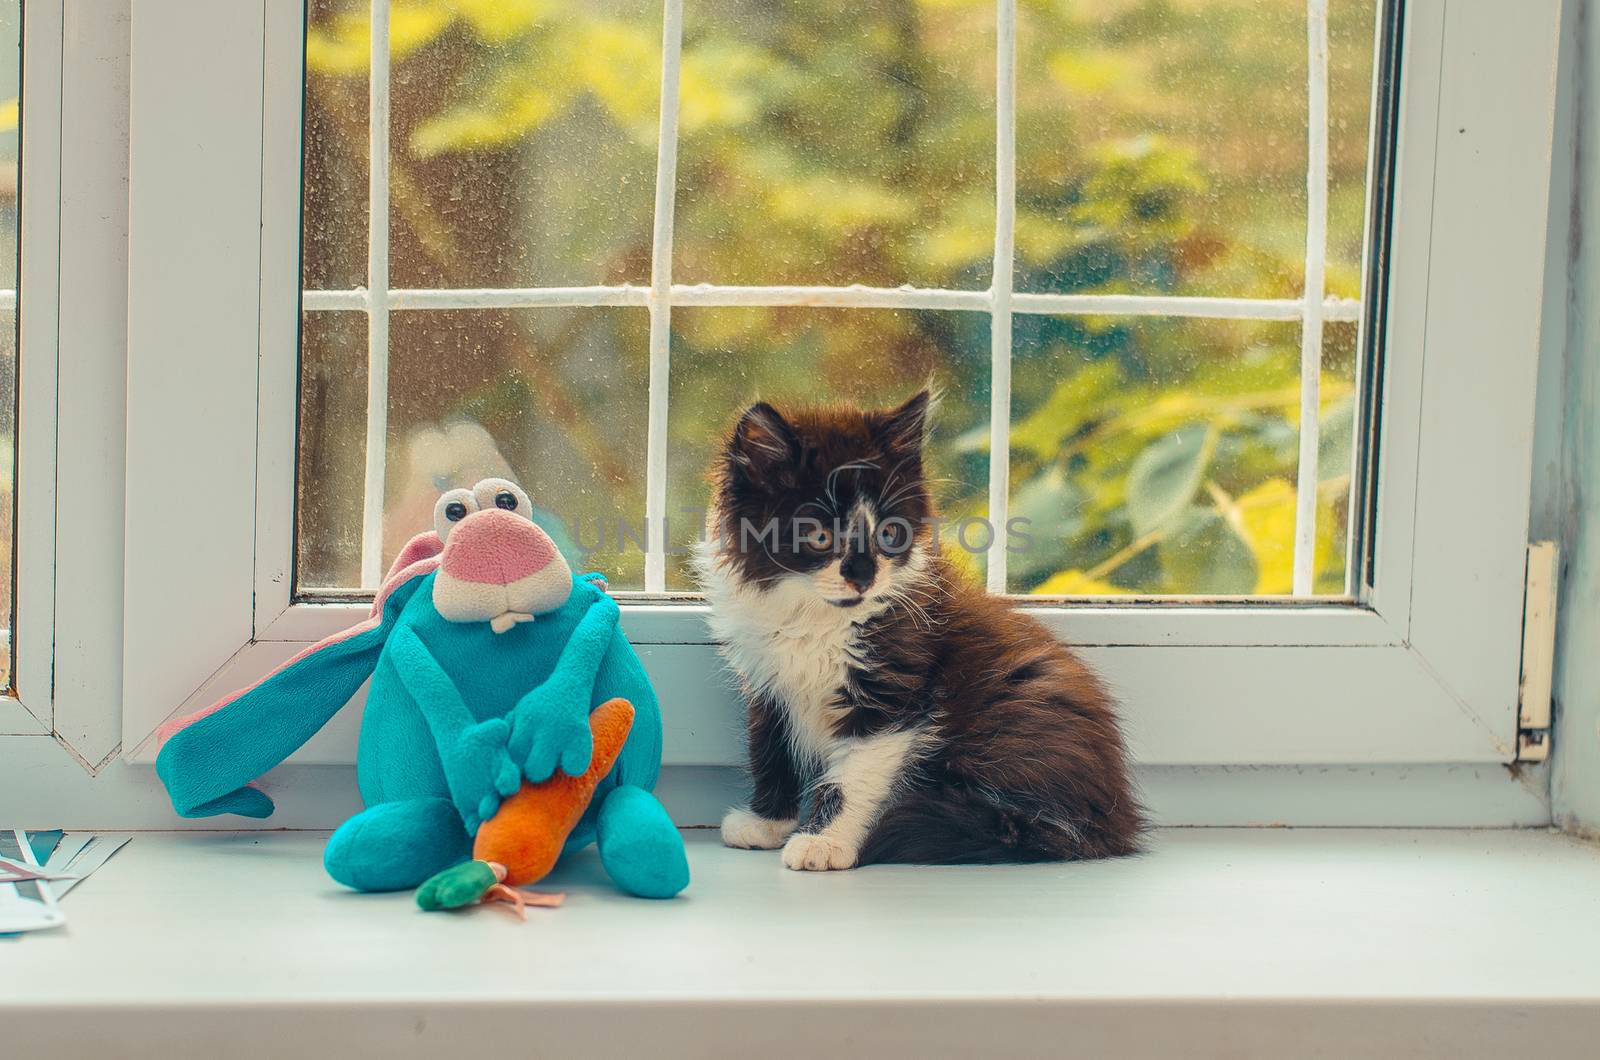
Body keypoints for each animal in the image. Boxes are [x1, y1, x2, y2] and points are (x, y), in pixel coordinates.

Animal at [694, 390, 1145, 871]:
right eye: (817, 536)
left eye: (890, 534)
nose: (864, 576)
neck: (813, 618)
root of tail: (1115, 820)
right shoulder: (765, 680)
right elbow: (769, 750)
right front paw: (767, 823)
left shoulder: (889, 690)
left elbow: (851, 776)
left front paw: (823, 842)